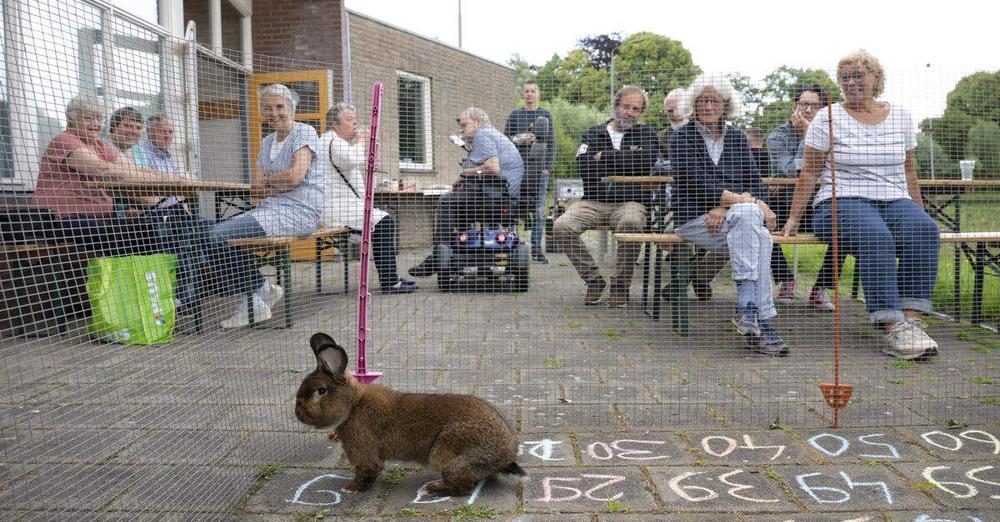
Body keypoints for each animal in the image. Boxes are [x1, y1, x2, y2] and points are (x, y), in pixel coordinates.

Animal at [292, 332, 528, 494]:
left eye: (321, 391)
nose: (298, 414)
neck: (353, 405)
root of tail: (506, 455)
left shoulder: (364, 452)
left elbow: (367, 471)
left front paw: (351, 488)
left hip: (447, 454)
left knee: (465, 485)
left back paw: (431, 488)